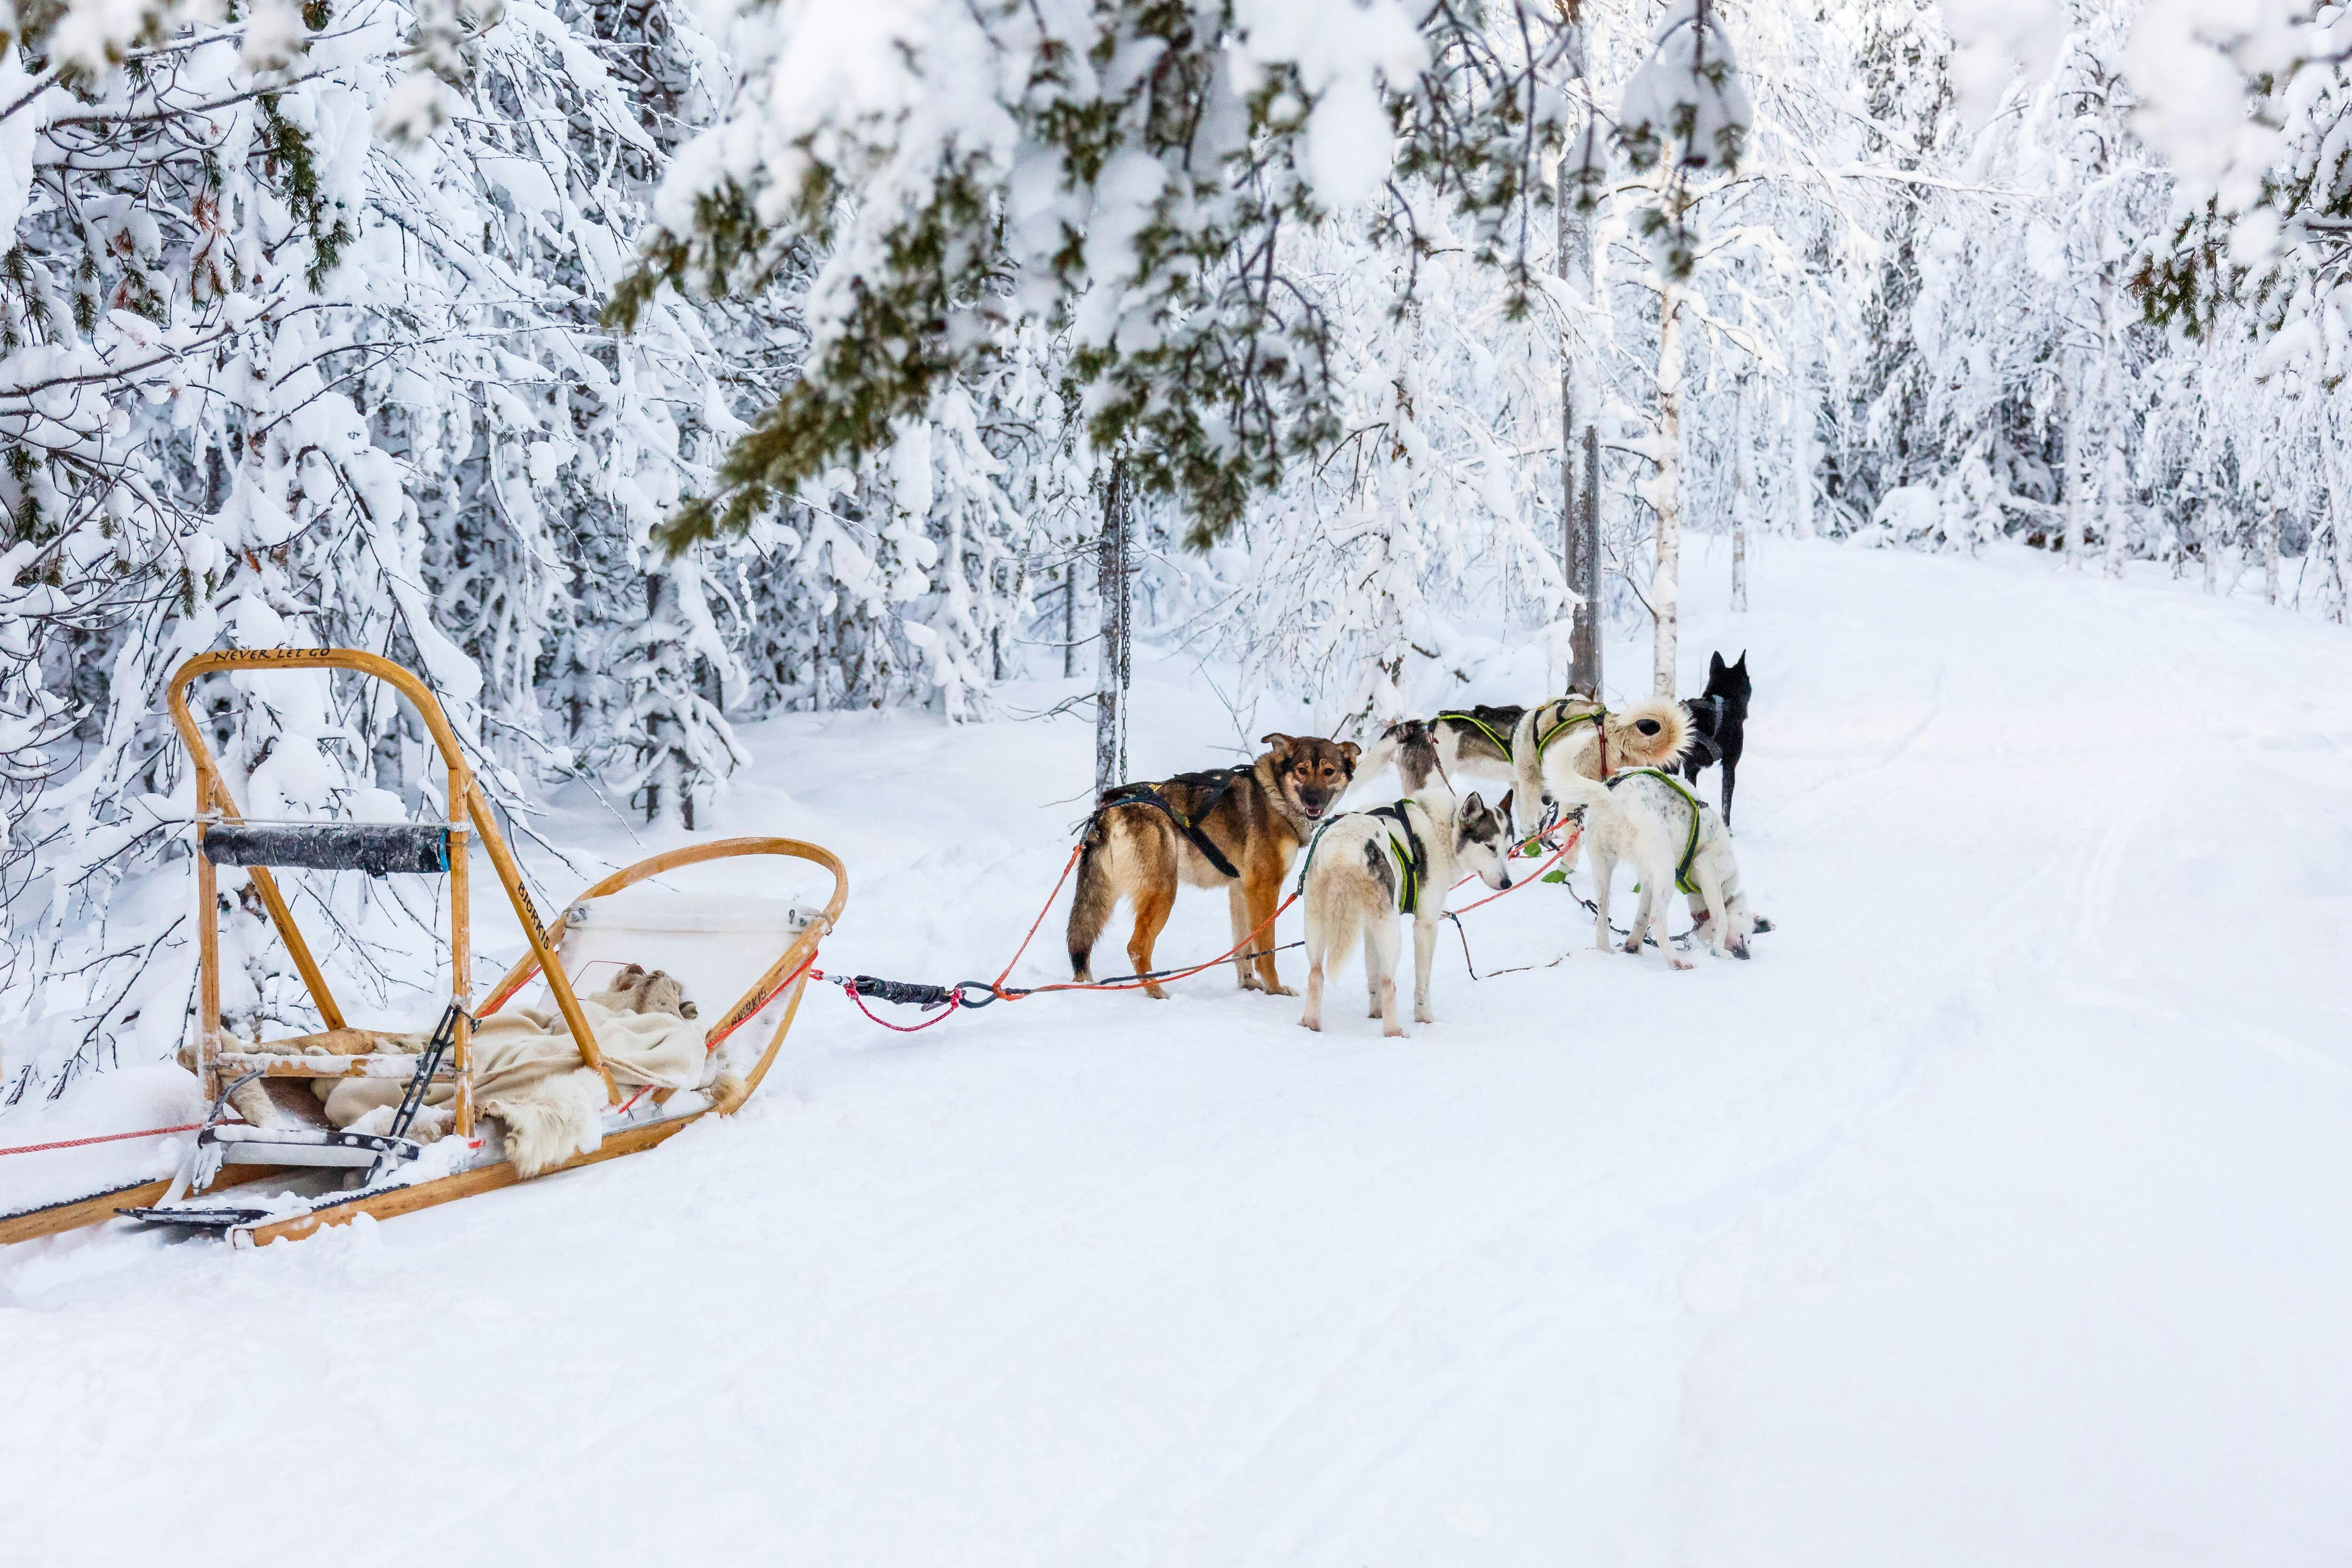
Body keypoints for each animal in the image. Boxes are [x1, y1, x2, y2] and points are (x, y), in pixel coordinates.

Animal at [1073, 733, 1364, 1001]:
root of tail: (1107, 810)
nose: (1313, 801)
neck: (1276, 797)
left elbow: (1244, 949)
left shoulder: (1240, 891)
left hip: (1106, 894)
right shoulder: (1264, 888)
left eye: (1329, 771)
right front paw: (1275, 989)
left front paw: (1249, 984)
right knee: (1137, 948)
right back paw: (1157, 993)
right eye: (1302, 770)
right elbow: (1266, 950)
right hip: (1163, 893)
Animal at [1298, 789, 1515, 1034]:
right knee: (1389, 983)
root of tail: (1346, 847)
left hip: (1319, 926)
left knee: (1316, 974)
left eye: (1508, 849)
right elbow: (1422, 982)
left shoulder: (1370, 927)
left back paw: (1310, 1024)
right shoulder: (1426, 923)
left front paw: (1376, 1013)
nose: (1507, 883)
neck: (1443, 827)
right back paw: (1395, 1033)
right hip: (1392, 933)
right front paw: (1425, 1018)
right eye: (1490, 847)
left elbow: (1373, 976)